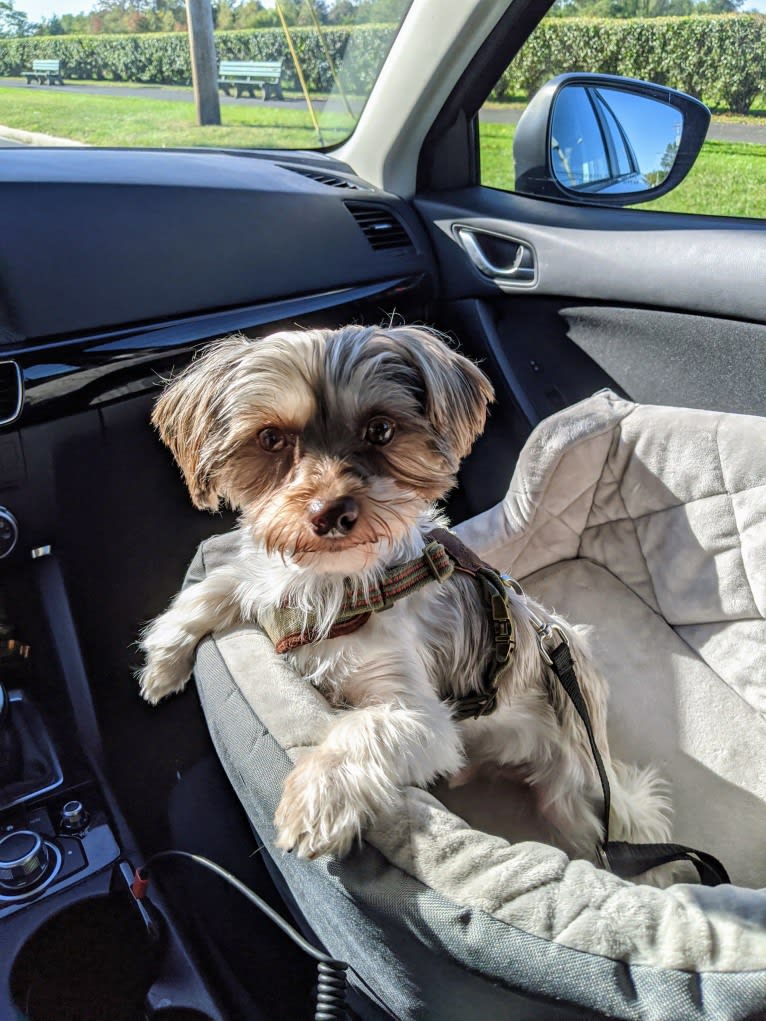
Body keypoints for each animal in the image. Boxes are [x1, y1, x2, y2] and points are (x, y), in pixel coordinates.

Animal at [139, 324, 669, 861]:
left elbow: (362, 729)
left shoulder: (421, 715)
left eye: (380, 430)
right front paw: (163, 662)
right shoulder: (270, 584)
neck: (337, 586)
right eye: (270, 438)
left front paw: (314, 800)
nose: (331, 512)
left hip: (571, 796)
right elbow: (217, 586)